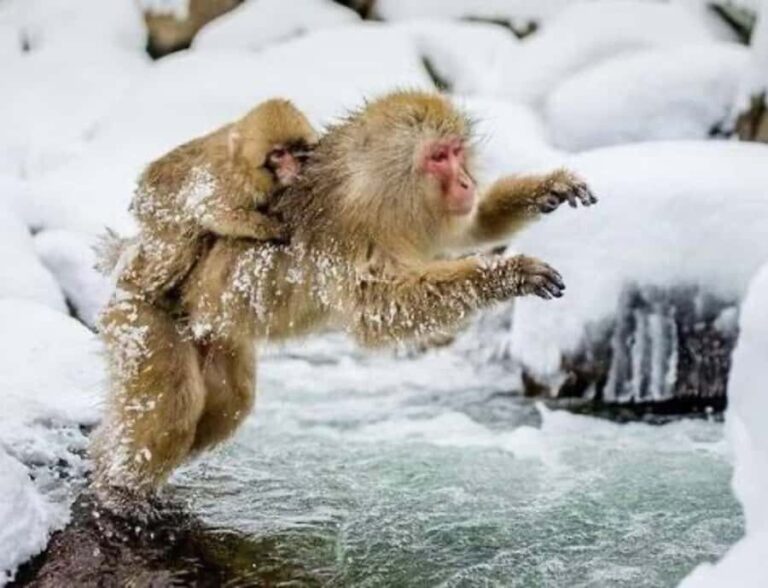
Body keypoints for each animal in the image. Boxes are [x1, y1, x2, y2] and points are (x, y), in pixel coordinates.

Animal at [117, 98, 317, 303]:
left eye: (297, 151)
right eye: (278, 154)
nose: (293, 167)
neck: (243, 166)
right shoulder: (228, 181)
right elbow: (210, 211)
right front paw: (273, 227)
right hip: (157, 211)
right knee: (177, 251)